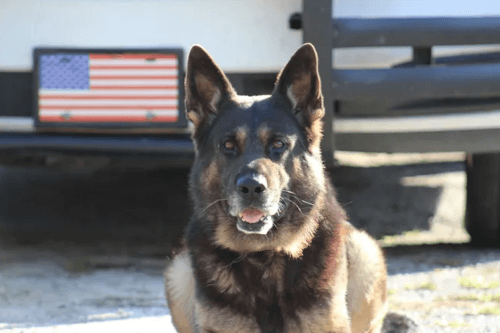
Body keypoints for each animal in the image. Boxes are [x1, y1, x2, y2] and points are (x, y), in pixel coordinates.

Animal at [166, 44, 388, 332]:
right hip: (178, 270)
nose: (251, 187)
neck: (263, 255)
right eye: (228, 146)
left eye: (279, 144)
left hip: (364, 253)